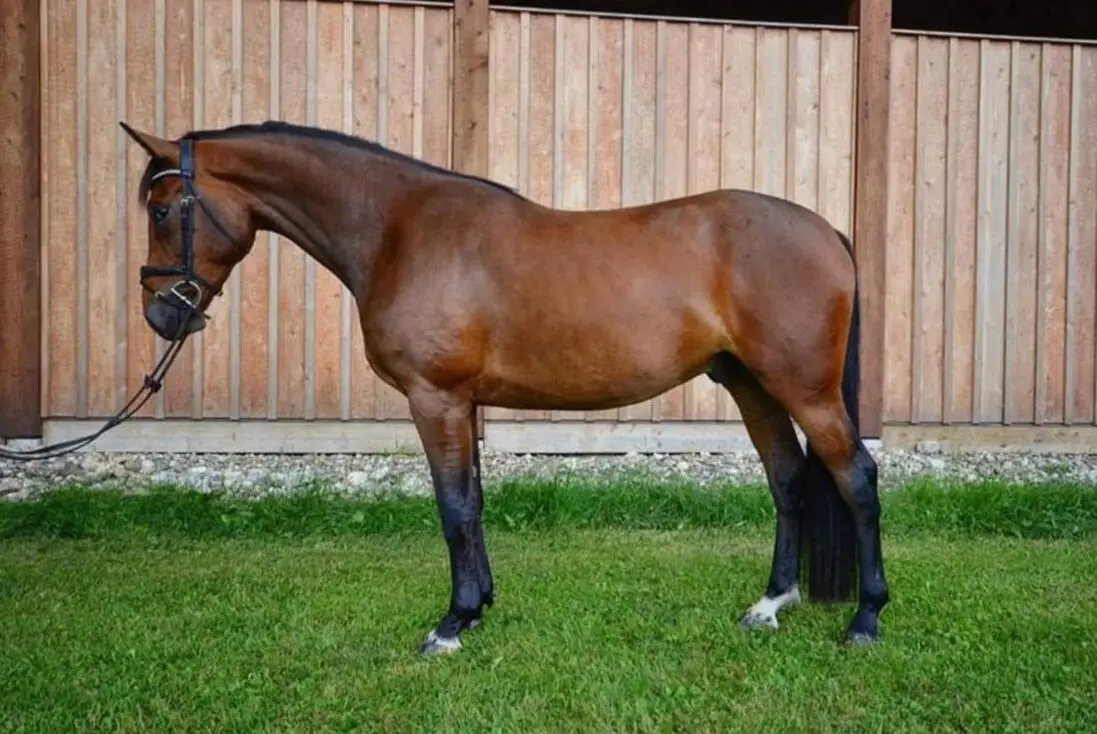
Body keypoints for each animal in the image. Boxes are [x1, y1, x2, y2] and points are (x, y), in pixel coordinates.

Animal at [119, 119, 889, 656]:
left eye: (161, 211)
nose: (159, 316)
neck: (399, 229)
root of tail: (825, 230)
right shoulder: (464, 404)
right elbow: (475, 503)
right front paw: (481, 605)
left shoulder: (434, 398)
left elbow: (453, 506)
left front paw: (451, 625)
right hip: (750, 383)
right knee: (786, 476)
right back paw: (771, 604)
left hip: (803, 387)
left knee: (854, 476)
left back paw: (865, 618)